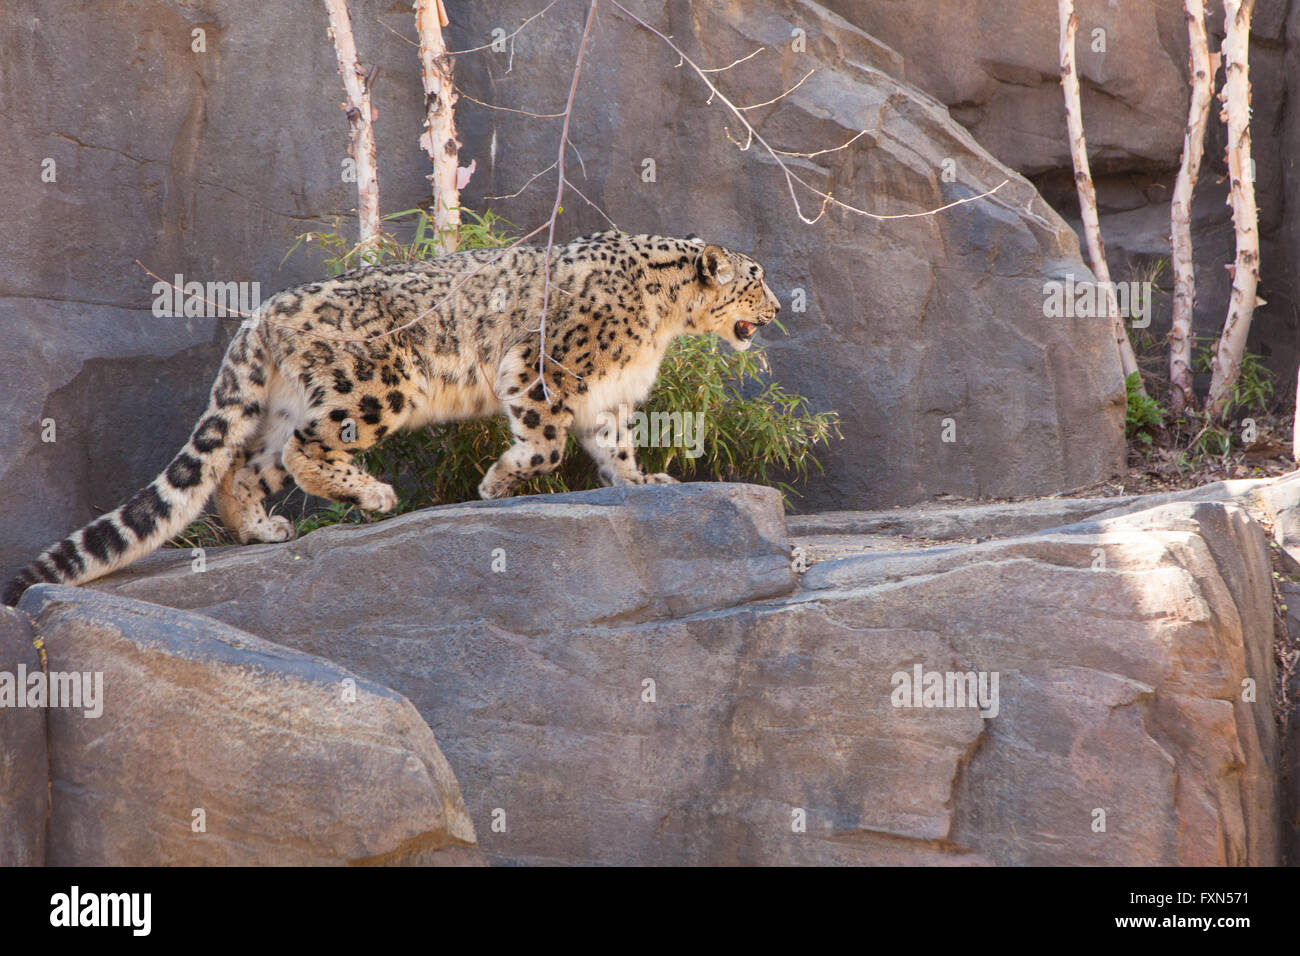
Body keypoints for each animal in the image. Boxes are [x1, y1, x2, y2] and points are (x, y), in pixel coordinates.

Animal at [4, 231, 781, 605]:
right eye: (755, 279)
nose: (777, 308)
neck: (662, 324)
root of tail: (262, 313)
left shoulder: (608, 398)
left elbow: (613, 447)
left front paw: (644, 483)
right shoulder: (544, 370)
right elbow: (549, 443)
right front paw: (498, 482)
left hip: (284, 406)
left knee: (244, 468)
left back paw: (262, 529)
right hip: (377, 385)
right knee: (303, 451)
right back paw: (375, 495)